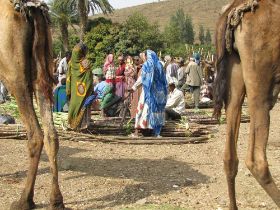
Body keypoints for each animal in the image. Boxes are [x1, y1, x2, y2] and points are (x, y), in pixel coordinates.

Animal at [0, 0, 64, 209]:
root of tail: (31, 9)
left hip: (14, 75)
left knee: (35, 134)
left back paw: (24, 200)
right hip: (41, 72)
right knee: (51, 134)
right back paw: (56, 200)